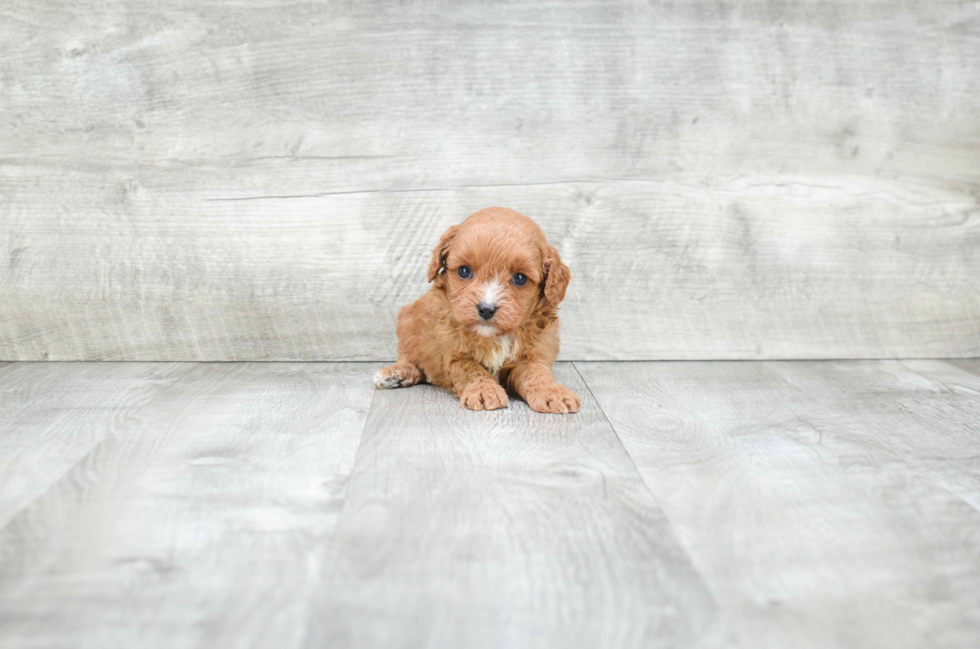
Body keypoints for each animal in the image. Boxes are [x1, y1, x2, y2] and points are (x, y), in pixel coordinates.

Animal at [372, 205, 580, 412]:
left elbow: (537, 372)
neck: (494, 337)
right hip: (408, 321)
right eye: (464, 271)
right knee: (411, 357)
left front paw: (552, 392)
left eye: (520, 278)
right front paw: (484, 390)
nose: (486, 309)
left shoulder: (532, 353)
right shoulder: (453, 354)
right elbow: (472, 369)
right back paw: (394, 374)